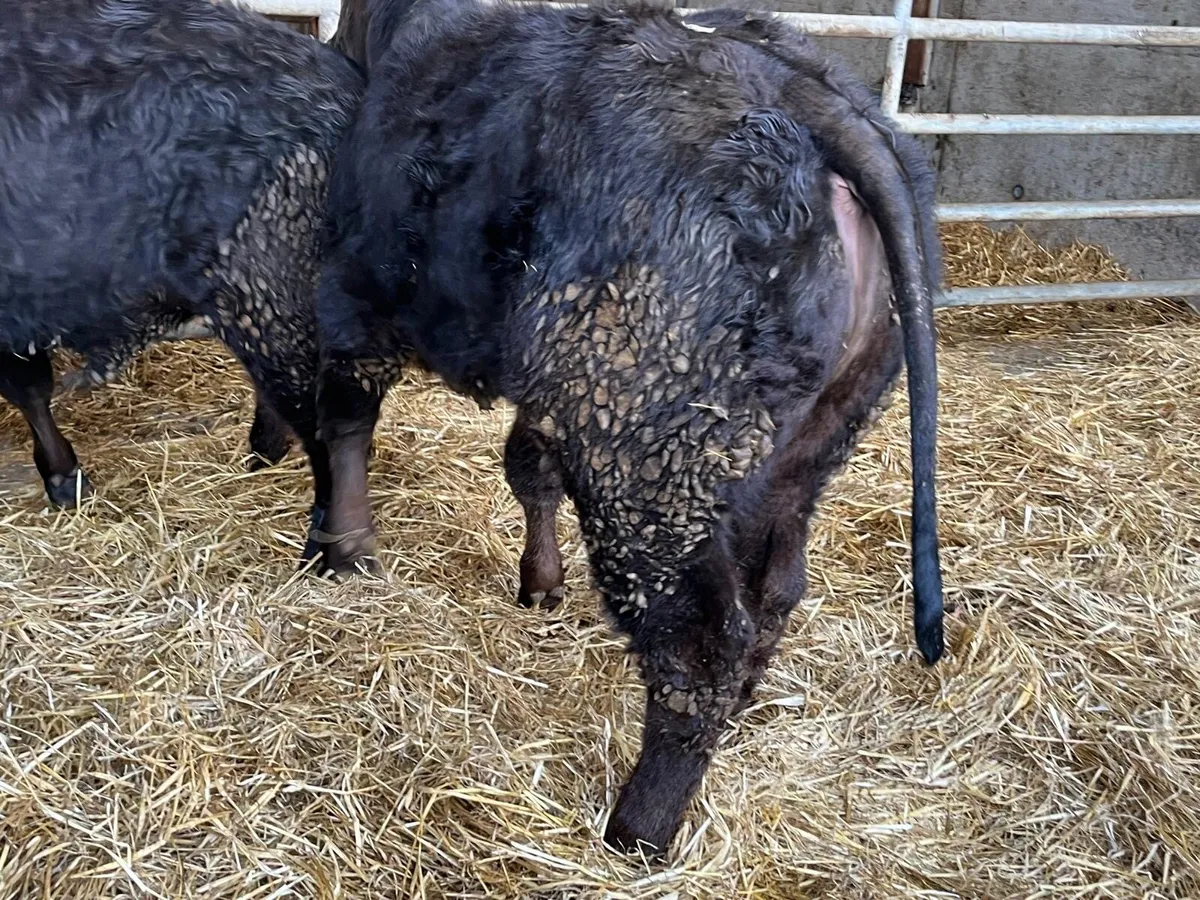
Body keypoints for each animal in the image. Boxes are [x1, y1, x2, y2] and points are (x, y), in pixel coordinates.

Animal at [0, 0, 363, 561]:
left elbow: (27, 386)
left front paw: (63, 477)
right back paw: (268, 454)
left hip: (266, 290)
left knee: (326, 419)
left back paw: (330, 546)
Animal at [315, 0, 946, 855]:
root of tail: (803, 90)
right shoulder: (551, 387)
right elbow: (529, 465)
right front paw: (539, 583)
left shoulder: (360, 282)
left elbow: (349, 415)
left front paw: (344, 550)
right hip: (801, 449)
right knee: (775, 587)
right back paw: (739, 709)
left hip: (648, 462)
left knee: (699, 639)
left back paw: (639, 826)